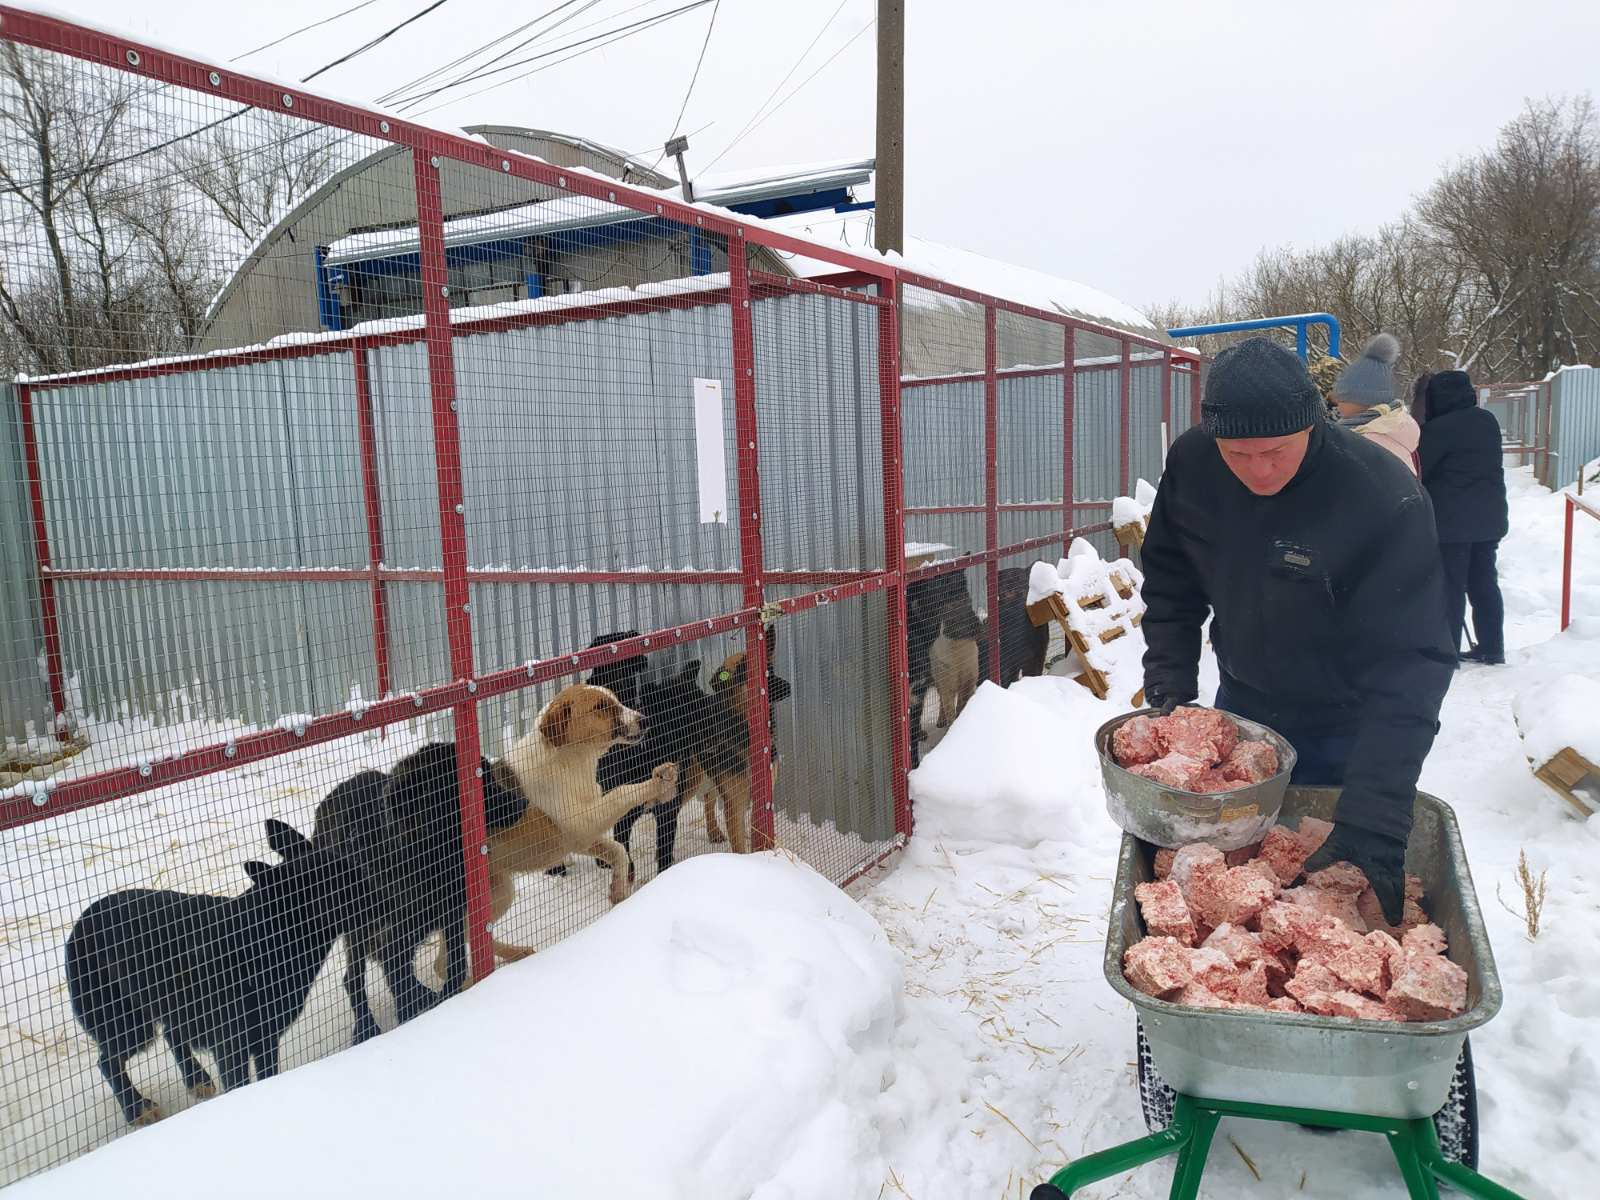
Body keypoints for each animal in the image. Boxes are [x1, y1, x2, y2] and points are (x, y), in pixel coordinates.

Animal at [64, 819, 360, 1126]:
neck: (270, 932)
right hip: (131, 1024)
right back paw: (138, 1109)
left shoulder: (265, 1039)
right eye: (331, 886)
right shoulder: (231, 1046)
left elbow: (267, 1075)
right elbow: (239, 1082)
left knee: (171, 1035)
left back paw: (197, 1080)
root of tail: (79, 927)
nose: (369, 879)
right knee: (108, 1061)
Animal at [315, 752, 528, 1043]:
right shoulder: (393, 935)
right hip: (357, 926)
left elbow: (454, 968)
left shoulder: (451, 917)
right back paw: (366, 1027)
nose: (523, 803)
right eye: (481, 781)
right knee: (353, 977)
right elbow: (400, 986)